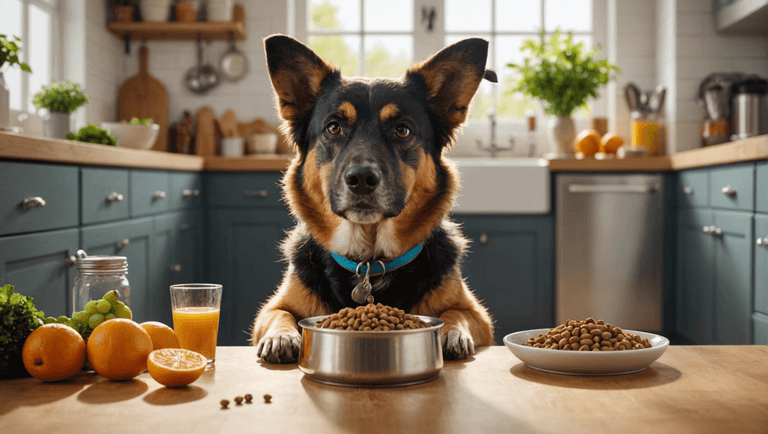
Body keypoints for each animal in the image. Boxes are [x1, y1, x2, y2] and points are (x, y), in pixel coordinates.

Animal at [249, 34, 496, 362]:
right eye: (334, 127)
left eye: (402, 130)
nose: (362, 179)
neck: (368, 261)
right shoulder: (272, 308)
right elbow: (281, 314)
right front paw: (282, 337)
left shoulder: (478, 315)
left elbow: (455, 313)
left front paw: (452, 333)